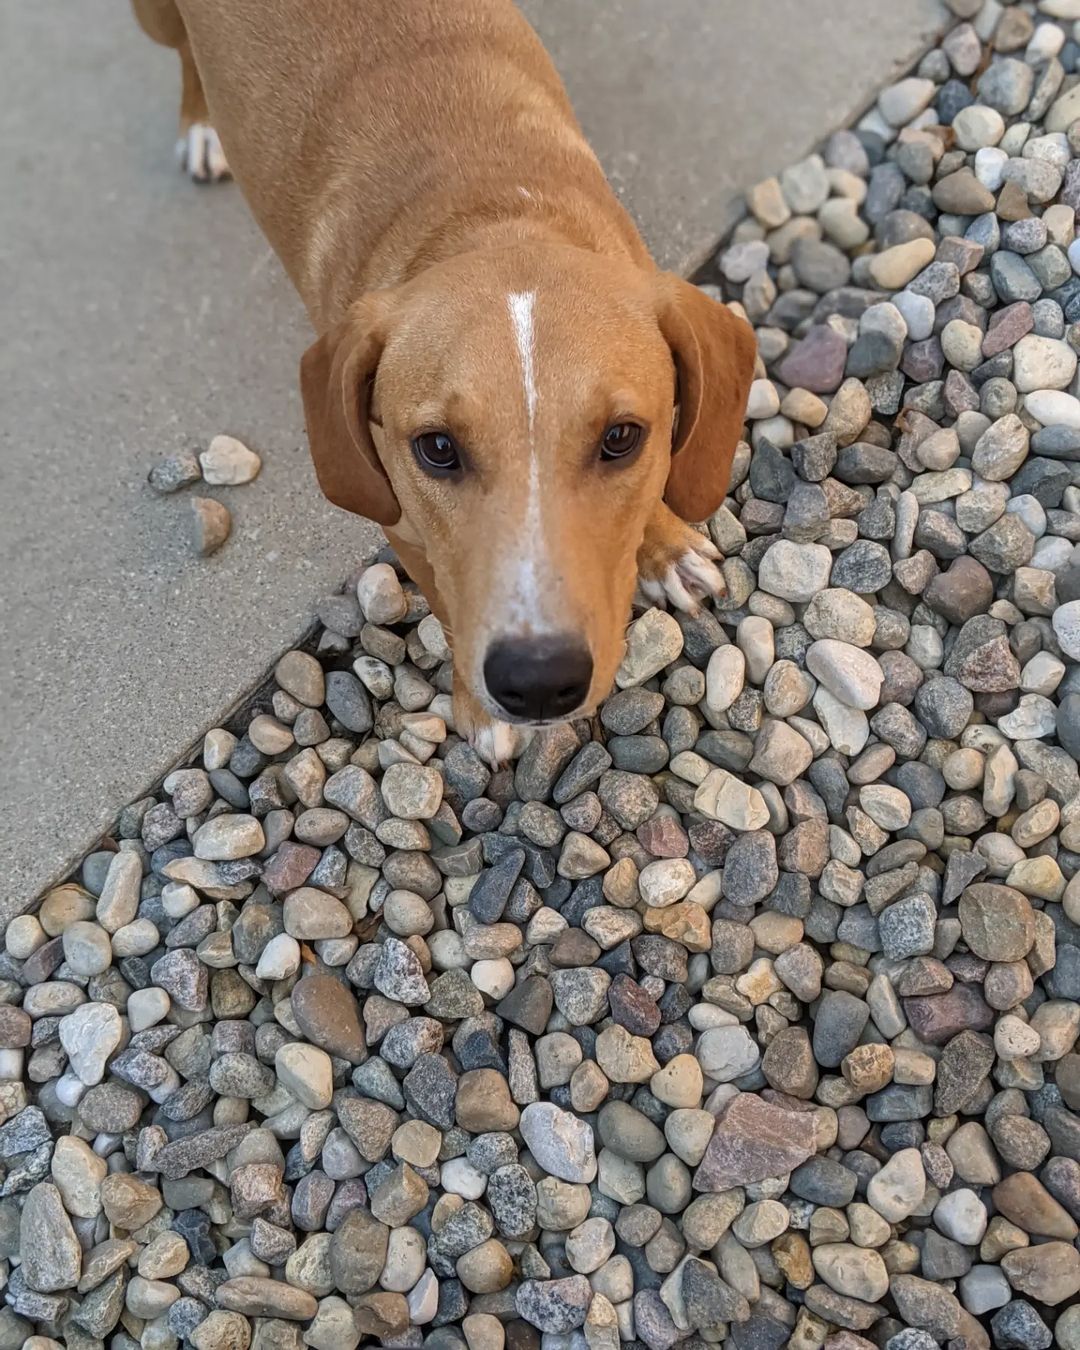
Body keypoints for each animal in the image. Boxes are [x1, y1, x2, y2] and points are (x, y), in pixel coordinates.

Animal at [130, 0, 756, 761]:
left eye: (621, 438)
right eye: (436, 449)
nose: (538, 684)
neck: (490, 215)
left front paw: (666, 547)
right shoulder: (404, 525)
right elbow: (449, 612)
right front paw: (478, 713)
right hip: (156, 21)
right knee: (183, 58)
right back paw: (199, 126)